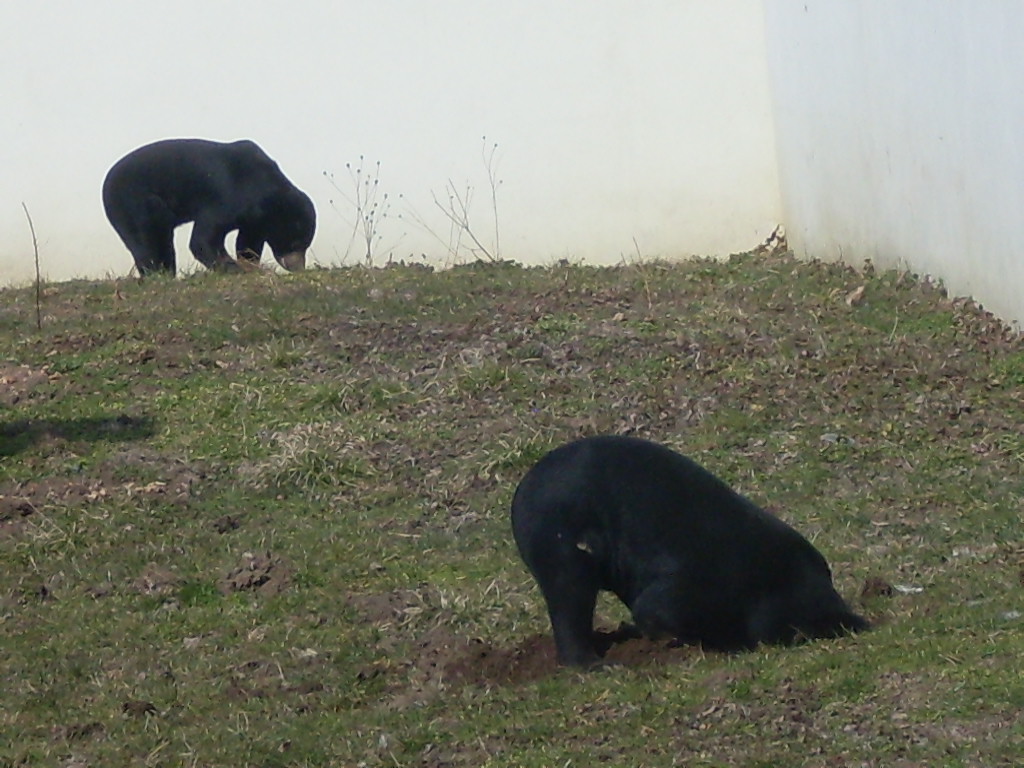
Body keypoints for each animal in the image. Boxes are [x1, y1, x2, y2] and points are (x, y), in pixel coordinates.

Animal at [102, 138, 316, 276]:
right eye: (295, 243)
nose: (298, 267)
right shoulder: (225, 199)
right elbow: (203, 240)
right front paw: (236, 270)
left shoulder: (254, 219)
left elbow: (247, 241)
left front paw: (250, 264)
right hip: (131, 204)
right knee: (145, 242)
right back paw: (156, 275)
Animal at [510, 435, 869, 667]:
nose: (854, 623)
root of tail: (521, 493)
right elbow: (654, 610)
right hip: (560, 545)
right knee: (569, 599)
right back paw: (597, 665)